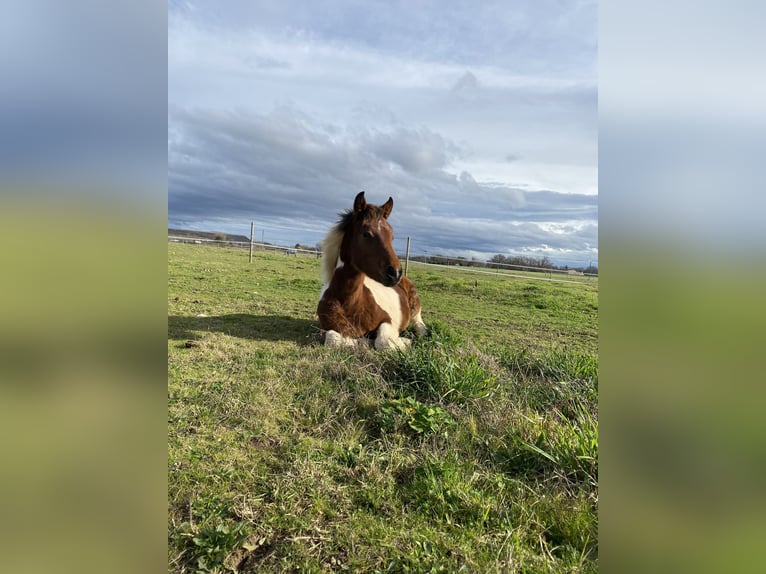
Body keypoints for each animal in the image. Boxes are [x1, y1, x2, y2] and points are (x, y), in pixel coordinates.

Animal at [317, 191, 427, 349]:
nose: (395, 273)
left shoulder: (388, 321)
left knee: (419, 322)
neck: (349, 304)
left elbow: (382, 341)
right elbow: (332, 338)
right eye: (366, 234)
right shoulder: (327, 328)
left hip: (415, 306)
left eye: (392, 236)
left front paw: (404, 341)